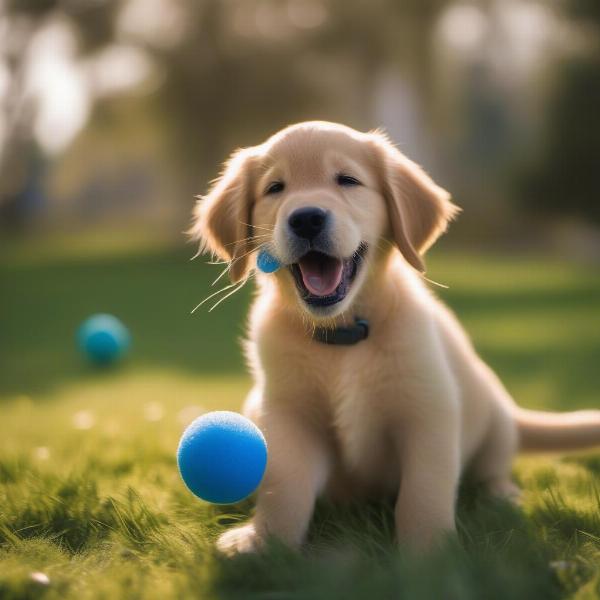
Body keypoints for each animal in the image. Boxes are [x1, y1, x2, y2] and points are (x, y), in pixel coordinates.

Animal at [190, 120, 600, 552]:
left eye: (348, 180)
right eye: (275, 188)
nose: (305, 219)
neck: (344, 336)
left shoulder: (428, 411)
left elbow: (424, 492)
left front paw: (428, 554)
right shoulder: (287, 415)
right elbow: (284, 487)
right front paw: (264, 543)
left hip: (494, 418)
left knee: (493, 466)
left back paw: (499, 496)